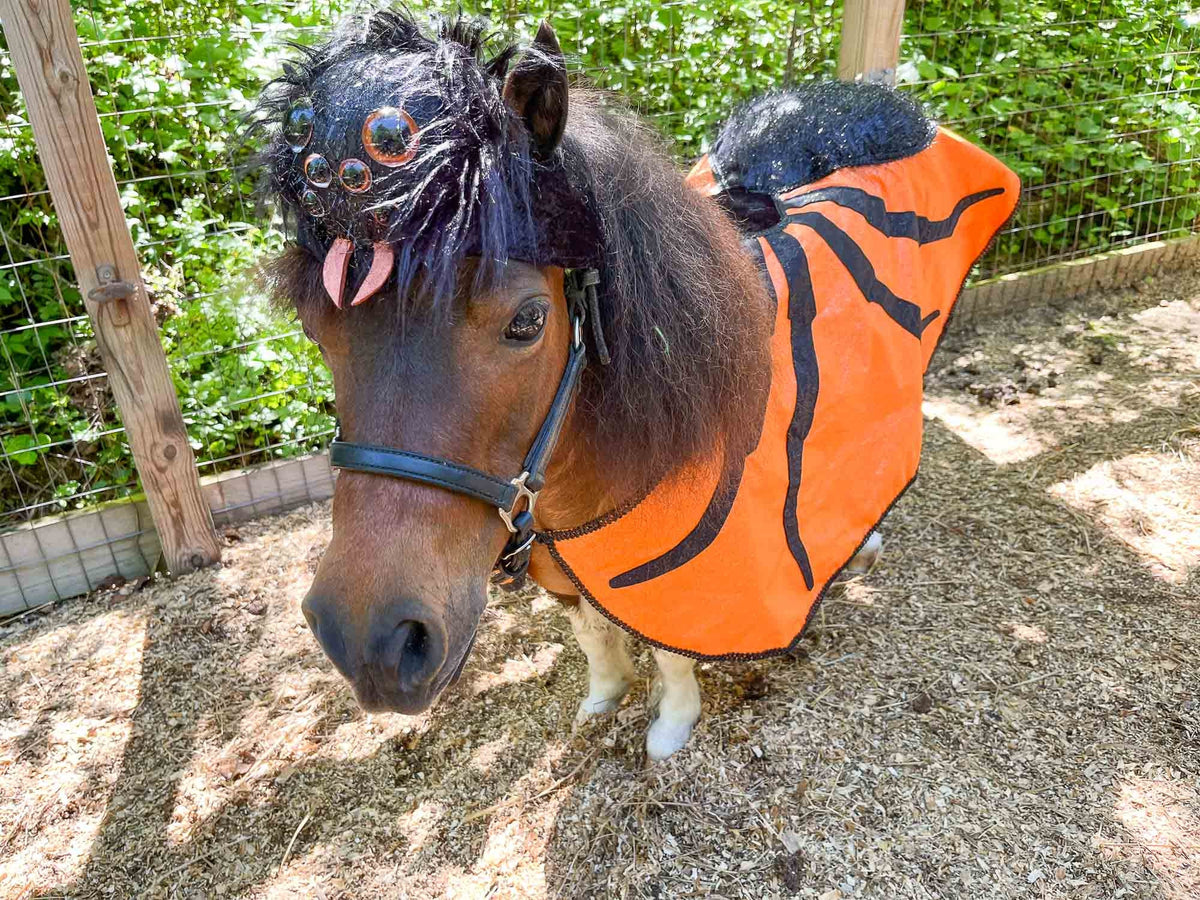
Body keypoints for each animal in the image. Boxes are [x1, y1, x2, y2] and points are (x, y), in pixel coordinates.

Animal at [247, 7, 1018, 759]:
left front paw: (670, 728)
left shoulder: (677, 578)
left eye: (527, 320)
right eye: (317, 329)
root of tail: (875, 99)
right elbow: (593, 630)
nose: (371, 644)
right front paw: (604, 697)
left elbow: (670, 649)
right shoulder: (567, 564)